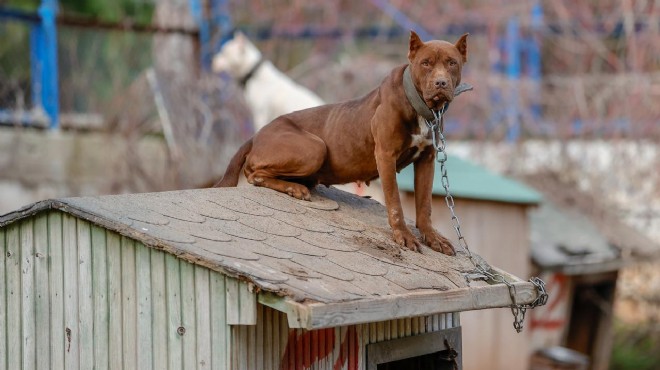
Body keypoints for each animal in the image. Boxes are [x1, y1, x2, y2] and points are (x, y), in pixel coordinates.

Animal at [214, 31, 466, 254]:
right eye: (426, 63)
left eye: (452, 63)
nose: (441, 83)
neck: (421, 108)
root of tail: (256, 135)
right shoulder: (386, 155)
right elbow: (395, 202)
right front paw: (403, 235)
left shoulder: (426, 159)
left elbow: (424, 205)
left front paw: (432, 238)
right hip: (314, 148)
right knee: (253, 174)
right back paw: (294, 188)